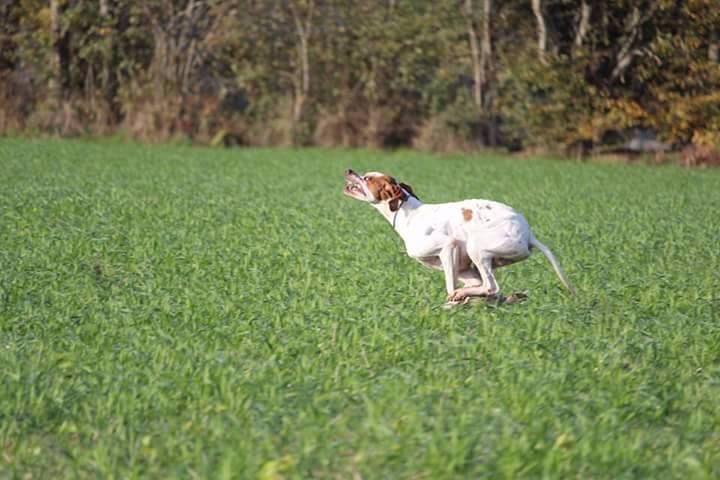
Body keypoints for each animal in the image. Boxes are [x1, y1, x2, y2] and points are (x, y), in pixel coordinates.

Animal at [344, 169, 572, 304]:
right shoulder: (464, 270)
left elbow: (450, 286)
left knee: (491, 286)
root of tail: (529, 233)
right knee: (492, 289)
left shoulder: (447, 246)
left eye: (367, 178)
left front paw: (454, 300)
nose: (349, 170)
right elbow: (474, 287)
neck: (407, 213)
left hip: (476, 247)